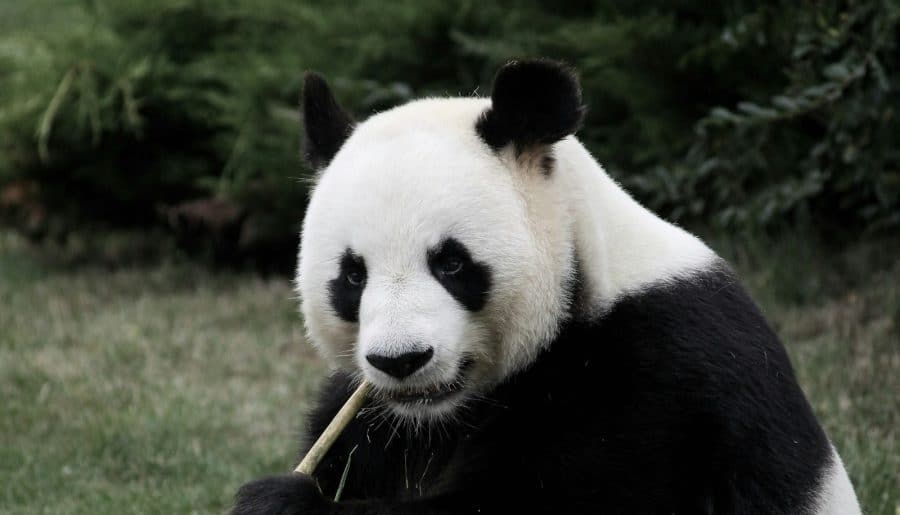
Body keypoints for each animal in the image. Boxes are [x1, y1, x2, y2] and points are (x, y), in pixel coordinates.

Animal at [234, 58, 864, 512]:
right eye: (352, 274)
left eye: (452, 264)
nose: (401, 360)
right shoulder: (373, 419)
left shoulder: (651, 380)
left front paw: (283, 501)